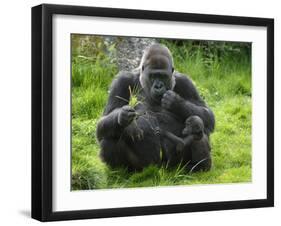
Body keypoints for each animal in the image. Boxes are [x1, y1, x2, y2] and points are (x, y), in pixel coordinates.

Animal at [96, 43, 214, 171]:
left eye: (163, 76)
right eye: (153, 76)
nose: (158, 86)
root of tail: (160, 168)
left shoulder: (185, 81)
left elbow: (207, 115)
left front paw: (176, 102)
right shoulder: (121, 81)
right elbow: (103, 122)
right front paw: (123, 116)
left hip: (174, 165)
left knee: (198, 126)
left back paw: (198, 166)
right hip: (144, 165)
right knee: (110, 136)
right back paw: (122, 171)